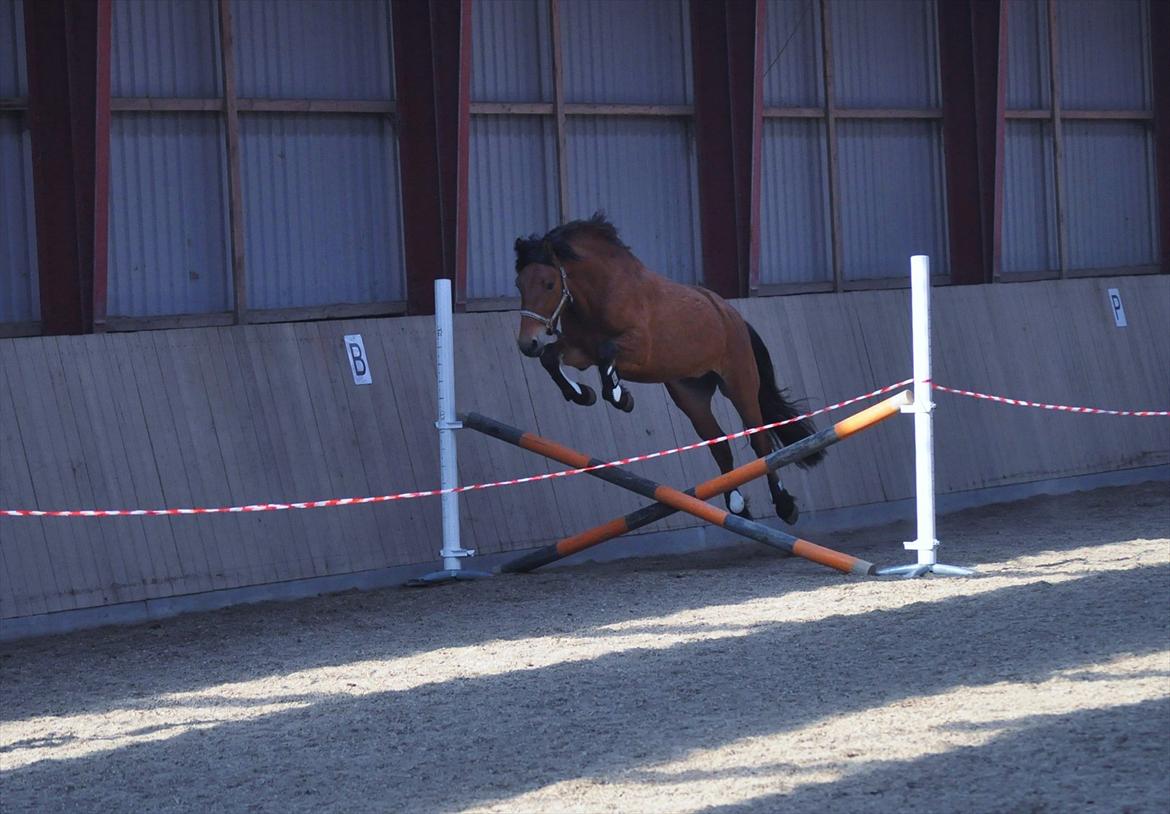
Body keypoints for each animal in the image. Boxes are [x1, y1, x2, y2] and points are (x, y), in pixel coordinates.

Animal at [512, 212, 823, 523]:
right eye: (519, 285)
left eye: (549, 284)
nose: (528, 343)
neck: (597, 293)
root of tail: (732, 315)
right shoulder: (579, 350)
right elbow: (551, 358)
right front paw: (583, 394)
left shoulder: (638, 348)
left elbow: (607, 354)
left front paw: (620, 396)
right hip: (691, 395)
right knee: (720, 444)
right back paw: (737, 507)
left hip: (739, 384)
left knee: (760, 441)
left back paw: (785, 505)